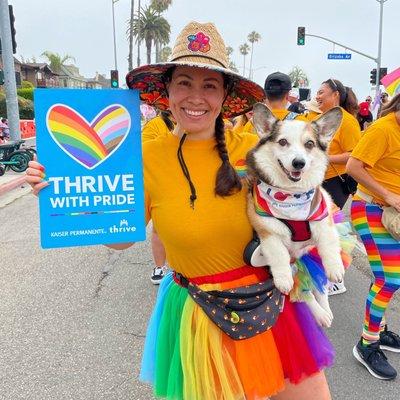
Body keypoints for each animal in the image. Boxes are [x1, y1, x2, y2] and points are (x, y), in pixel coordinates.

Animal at [247, 104, 344, 328]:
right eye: (283, 142)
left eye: (309, 144)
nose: (298, 163)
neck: (291, 194)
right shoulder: (267, 232)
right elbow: (279, 254)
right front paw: (283, 279)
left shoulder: (324, 217)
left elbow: (329, 245)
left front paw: (335, 268)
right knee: (303, 292)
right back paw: (320, 314)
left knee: (319, 288)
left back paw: (325, 310)